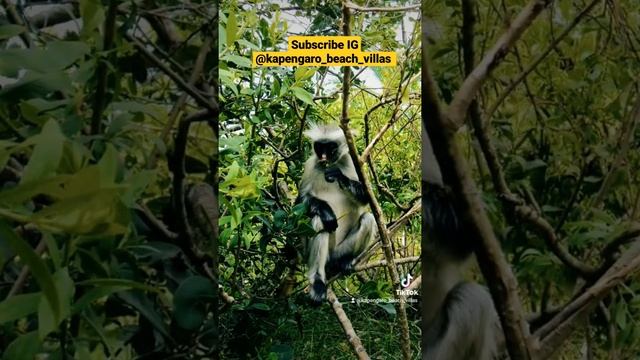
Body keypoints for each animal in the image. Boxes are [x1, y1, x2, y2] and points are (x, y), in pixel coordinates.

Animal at [298, 125, 378, 302]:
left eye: (331, 147)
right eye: (319, 147)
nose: (323, 157)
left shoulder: (351, 162)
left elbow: (366, 197)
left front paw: (338, 175)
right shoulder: (310, 164)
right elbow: (299, 202)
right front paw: (327, 212)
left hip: (339, 250)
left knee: (368, 218)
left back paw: (344, 262)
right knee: (320, 222)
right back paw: (318, 281)